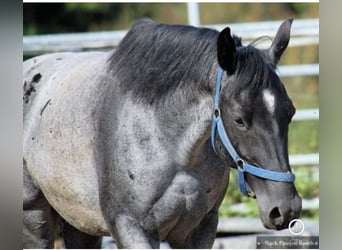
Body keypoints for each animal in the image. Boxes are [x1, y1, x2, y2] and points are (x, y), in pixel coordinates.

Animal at [22, 18, 302, 248]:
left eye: (290, 112)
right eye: (239, 120)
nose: (285, 208)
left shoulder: (200, 229)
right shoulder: (131, 228)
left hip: (81, 223)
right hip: (35, 216)